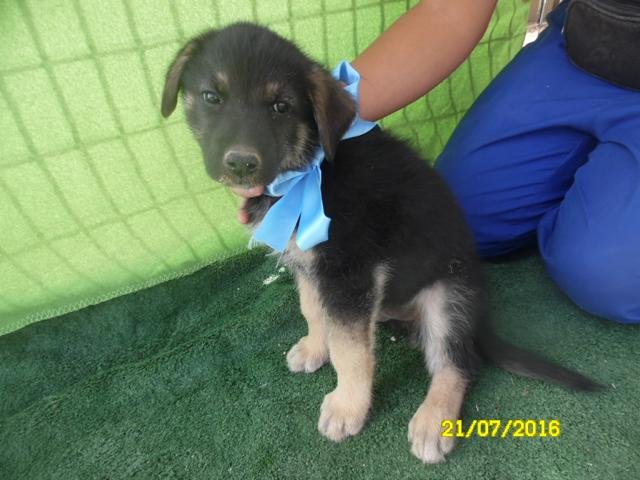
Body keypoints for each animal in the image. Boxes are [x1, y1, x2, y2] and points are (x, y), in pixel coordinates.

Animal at [161, 23, 601, 463]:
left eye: (280, 107)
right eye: (212, 97)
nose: (241, 163)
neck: (308, 168)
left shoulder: (351, 273)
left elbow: (351, 350)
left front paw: (347, 408)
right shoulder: (310, 266)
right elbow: (314, 311)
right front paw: (316, 348)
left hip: (449, 296)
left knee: (459, 362)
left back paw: (433, 420)